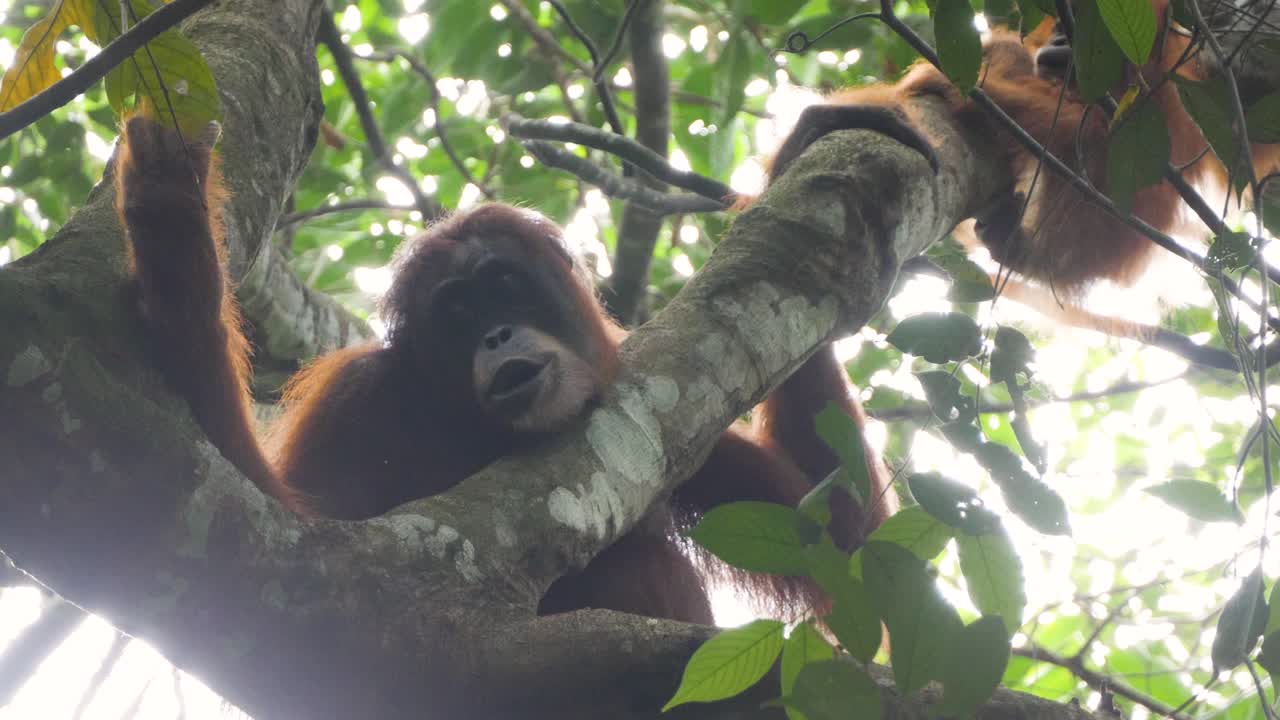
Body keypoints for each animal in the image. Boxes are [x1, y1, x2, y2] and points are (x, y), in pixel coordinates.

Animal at [113, 114, 895, 624]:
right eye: (460, 313)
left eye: (505, 287)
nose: (494, 334)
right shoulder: (354, 403)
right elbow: (288, 545)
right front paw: (170, 213)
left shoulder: (661, 403)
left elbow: (846, 547)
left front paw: (804, 154)